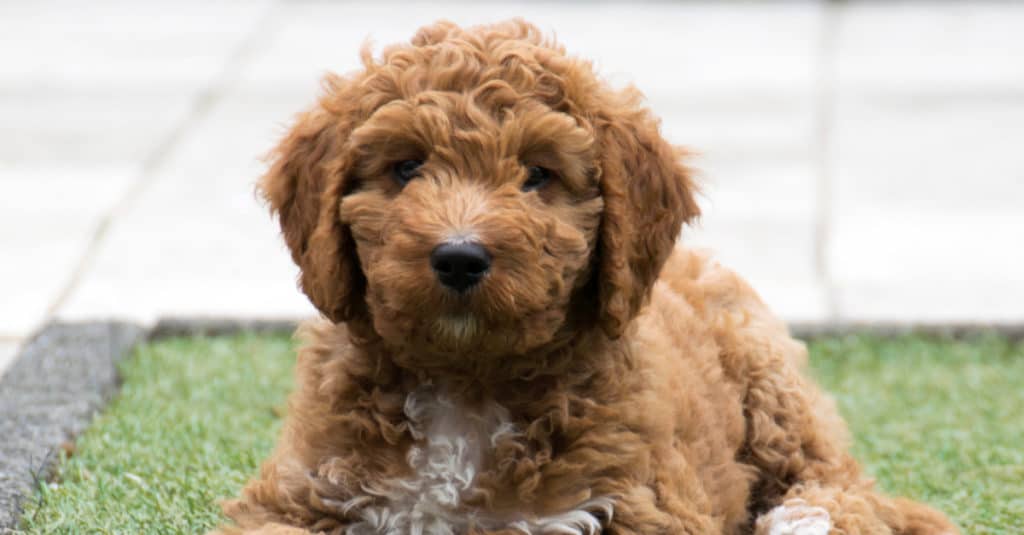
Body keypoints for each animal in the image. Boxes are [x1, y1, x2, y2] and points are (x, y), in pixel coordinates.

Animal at [218, 18, 958, 528]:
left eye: (538, 175)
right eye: (405, 168)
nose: (459, 256)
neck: (466, 385)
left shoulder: (641, 503)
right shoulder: (297, 494)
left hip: (771, 381)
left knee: (837, 481)